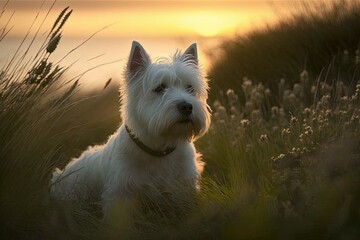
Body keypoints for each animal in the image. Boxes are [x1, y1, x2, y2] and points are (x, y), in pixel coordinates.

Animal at [52, 40, 212, 214]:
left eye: (190, 87)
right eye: (159, 88)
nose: (187, 107)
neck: (158, 149)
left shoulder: (183, 187)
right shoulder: (121, 193)